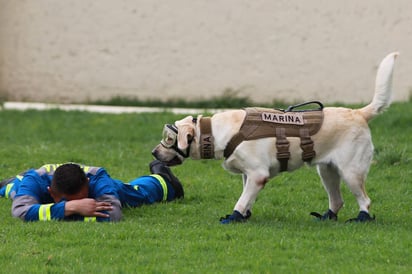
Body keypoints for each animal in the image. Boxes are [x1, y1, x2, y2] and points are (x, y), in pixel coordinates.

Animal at [152, 52, 400, 224]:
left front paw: (234, 217)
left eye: (169, 139)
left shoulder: (258, 175)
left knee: (365, 200)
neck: (217, 132)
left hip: (351, 172)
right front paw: (244, 216)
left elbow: (241, 200)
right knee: (337, 201)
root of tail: (359, 113)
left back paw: (361, 219)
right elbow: (247, 198)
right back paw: (326, 217)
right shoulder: (248, 176)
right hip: (327, 171)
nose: (153, 152)